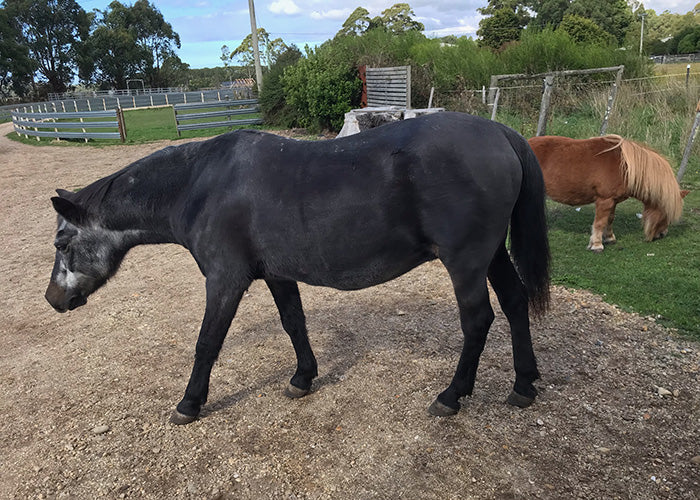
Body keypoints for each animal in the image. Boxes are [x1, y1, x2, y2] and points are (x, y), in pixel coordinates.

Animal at [45, 112, 552, 422]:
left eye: (62, 241)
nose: (53, 299)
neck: (201, 184)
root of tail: (501, 133)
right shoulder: (276, 273)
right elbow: (294, 324)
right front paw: (303, 378)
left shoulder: (225, 280)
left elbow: (207, 343)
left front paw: (189, 403)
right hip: (492, 254)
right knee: (515, 303)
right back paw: (524, 384)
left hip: (465, 260)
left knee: (478, 319)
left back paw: (451, 396)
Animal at [528, 135, 688, 252]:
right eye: (667, 213)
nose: (662, 234)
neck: (625, 167)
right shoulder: (604, 200)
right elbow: (599, 222)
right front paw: (597, 244)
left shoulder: (613, 201)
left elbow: (609, 219)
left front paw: (609, 238)